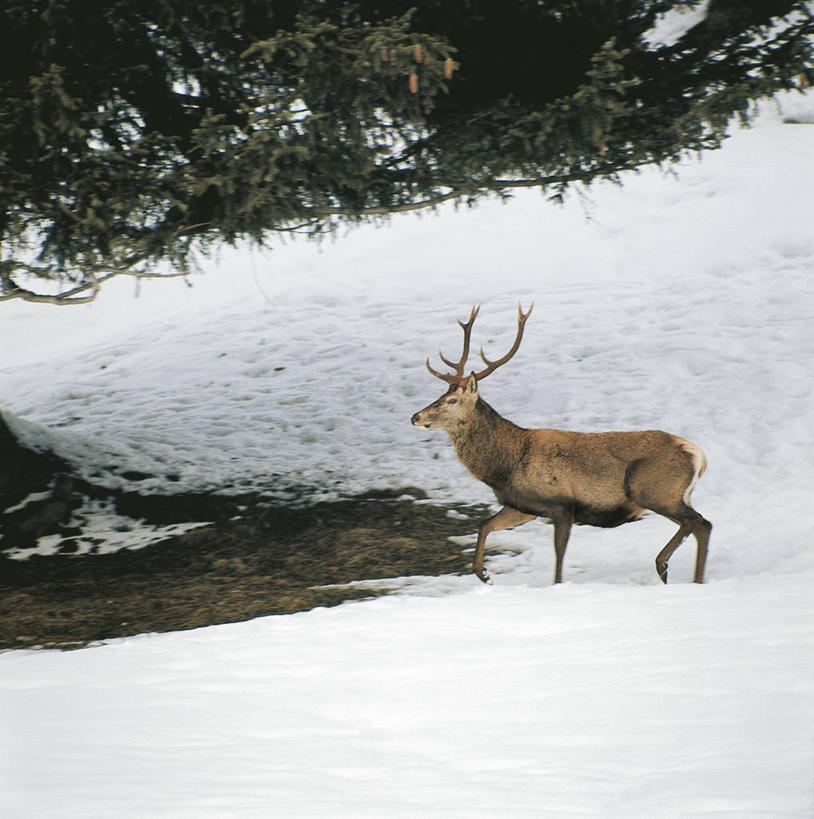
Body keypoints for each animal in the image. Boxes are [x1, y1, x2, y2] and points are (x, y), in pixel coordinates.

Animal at [412, 304, 712, 588]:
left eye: (452, 401)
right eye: (440, 395)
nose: (415, 416)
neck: (507, 465)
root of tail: (698, 455)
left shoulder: (562, 504)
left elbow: (559, 553)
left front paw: (556, 584)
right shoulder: (522, 506)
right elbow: (485, 525)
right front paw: (483, 574)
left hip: (651, 489)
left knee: (700, 522)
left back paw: (664, 565)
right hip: (673, 494)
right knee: (700, 525)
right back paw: (686, 575)